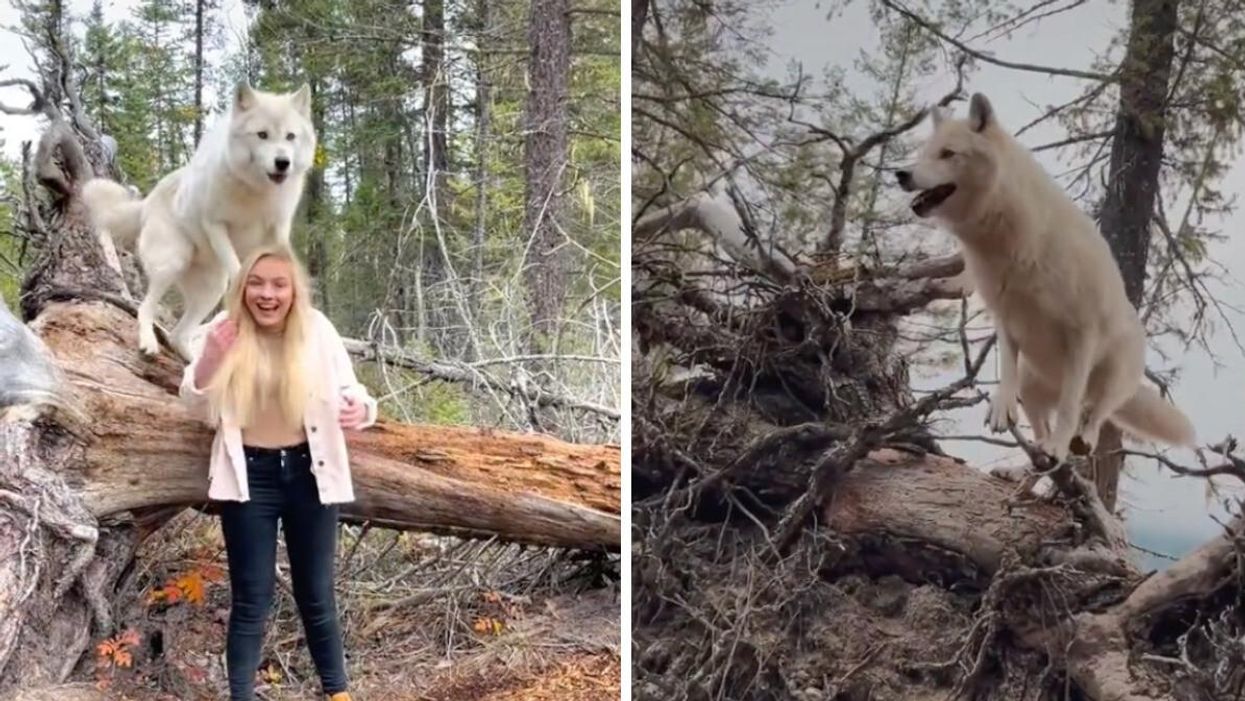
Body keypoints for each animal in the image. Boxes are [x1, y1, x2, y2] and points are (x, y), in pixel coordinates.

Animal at [82, 83, 316, 358]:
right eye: (262, 135)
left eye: (290, 136)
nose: (282, 163)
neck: (256, 191)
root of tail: (146, 202)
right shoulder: (215, 225)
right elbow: (237, 268)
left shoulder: (278, 228)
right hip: (172, 263)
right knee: (145, 309)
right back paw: (149, 343)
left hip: (211, 289)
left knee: (178, 335)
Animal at [895, 92, 1195, 461]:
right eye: (924, 153)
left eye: (948, 153)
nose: (901, 173)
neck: (1011, 239)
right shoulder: (1005, 315)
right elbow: (1006, 368)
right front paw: (1002, 409)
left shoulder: (1082, 333)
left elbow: (1070, 406)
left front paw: (1059, 446)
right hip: (1034, 385)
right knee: (1041, 423)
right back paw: (1034, 456)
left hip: (1111, 378)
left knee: (1096, 413)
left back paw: (1078, 442)